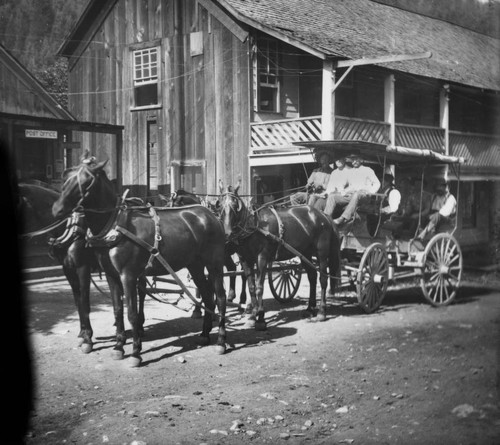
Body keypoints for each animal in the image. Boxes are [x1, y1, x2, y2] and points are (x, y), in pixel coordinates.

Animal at [51, 158, 229, 366]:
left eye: (87, 181)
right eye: (65, 179)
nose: (57, 209)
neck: (115, 225)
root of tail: (209, 215)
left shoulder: (126, 275)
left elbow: (131, 313)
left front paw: (135, 352)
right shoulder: (112, 275)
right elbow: (117, 310)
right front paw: (119, 346)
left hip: (214, 263)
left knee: (220, 297)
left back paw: (221, 341)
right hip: (195, 265)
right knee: (208, 295)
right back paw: (204, 334)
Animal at [218, 181, 340, 330]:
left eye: (236, 205)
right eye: (220, 205)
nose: (227, 233)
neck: (253, 225)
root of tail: (323, 215)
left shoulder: (262, 258)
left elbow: (259, 287)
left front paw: (260, 318)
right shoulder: (245, 260)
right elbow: (251, 287)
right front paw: (252, 316)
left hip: (321, 253)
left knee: (323, 279)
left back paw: (322, 312)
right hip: (305, 253)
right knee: (312, 277)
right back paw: (310, 308)